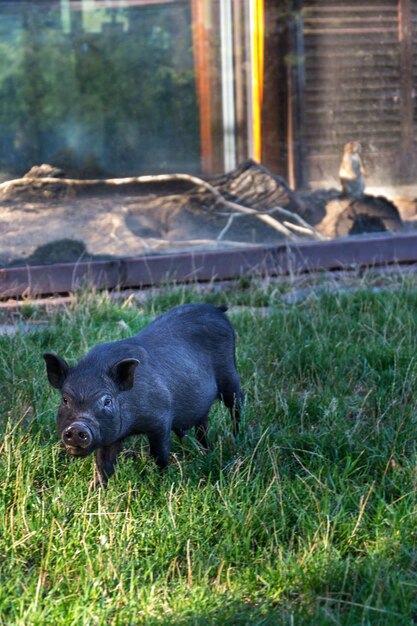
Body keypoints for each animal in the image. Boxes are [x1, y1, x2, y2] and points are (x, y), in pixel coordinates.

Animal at [42, 302, 242, 482]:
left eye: (107, 401)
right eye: (65, 400)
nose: (77, 427)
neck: (133, 426)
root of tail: (215, 309)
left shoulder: (161, 420)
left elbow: (159, 455)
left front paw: (162, 482)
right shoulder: (112, 435)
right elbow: (103, 464)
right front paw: (98, 490)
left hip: (229, 373)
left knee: (236, 405)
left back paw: (236, 439)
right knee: (203, 423)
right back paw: (205, 452)